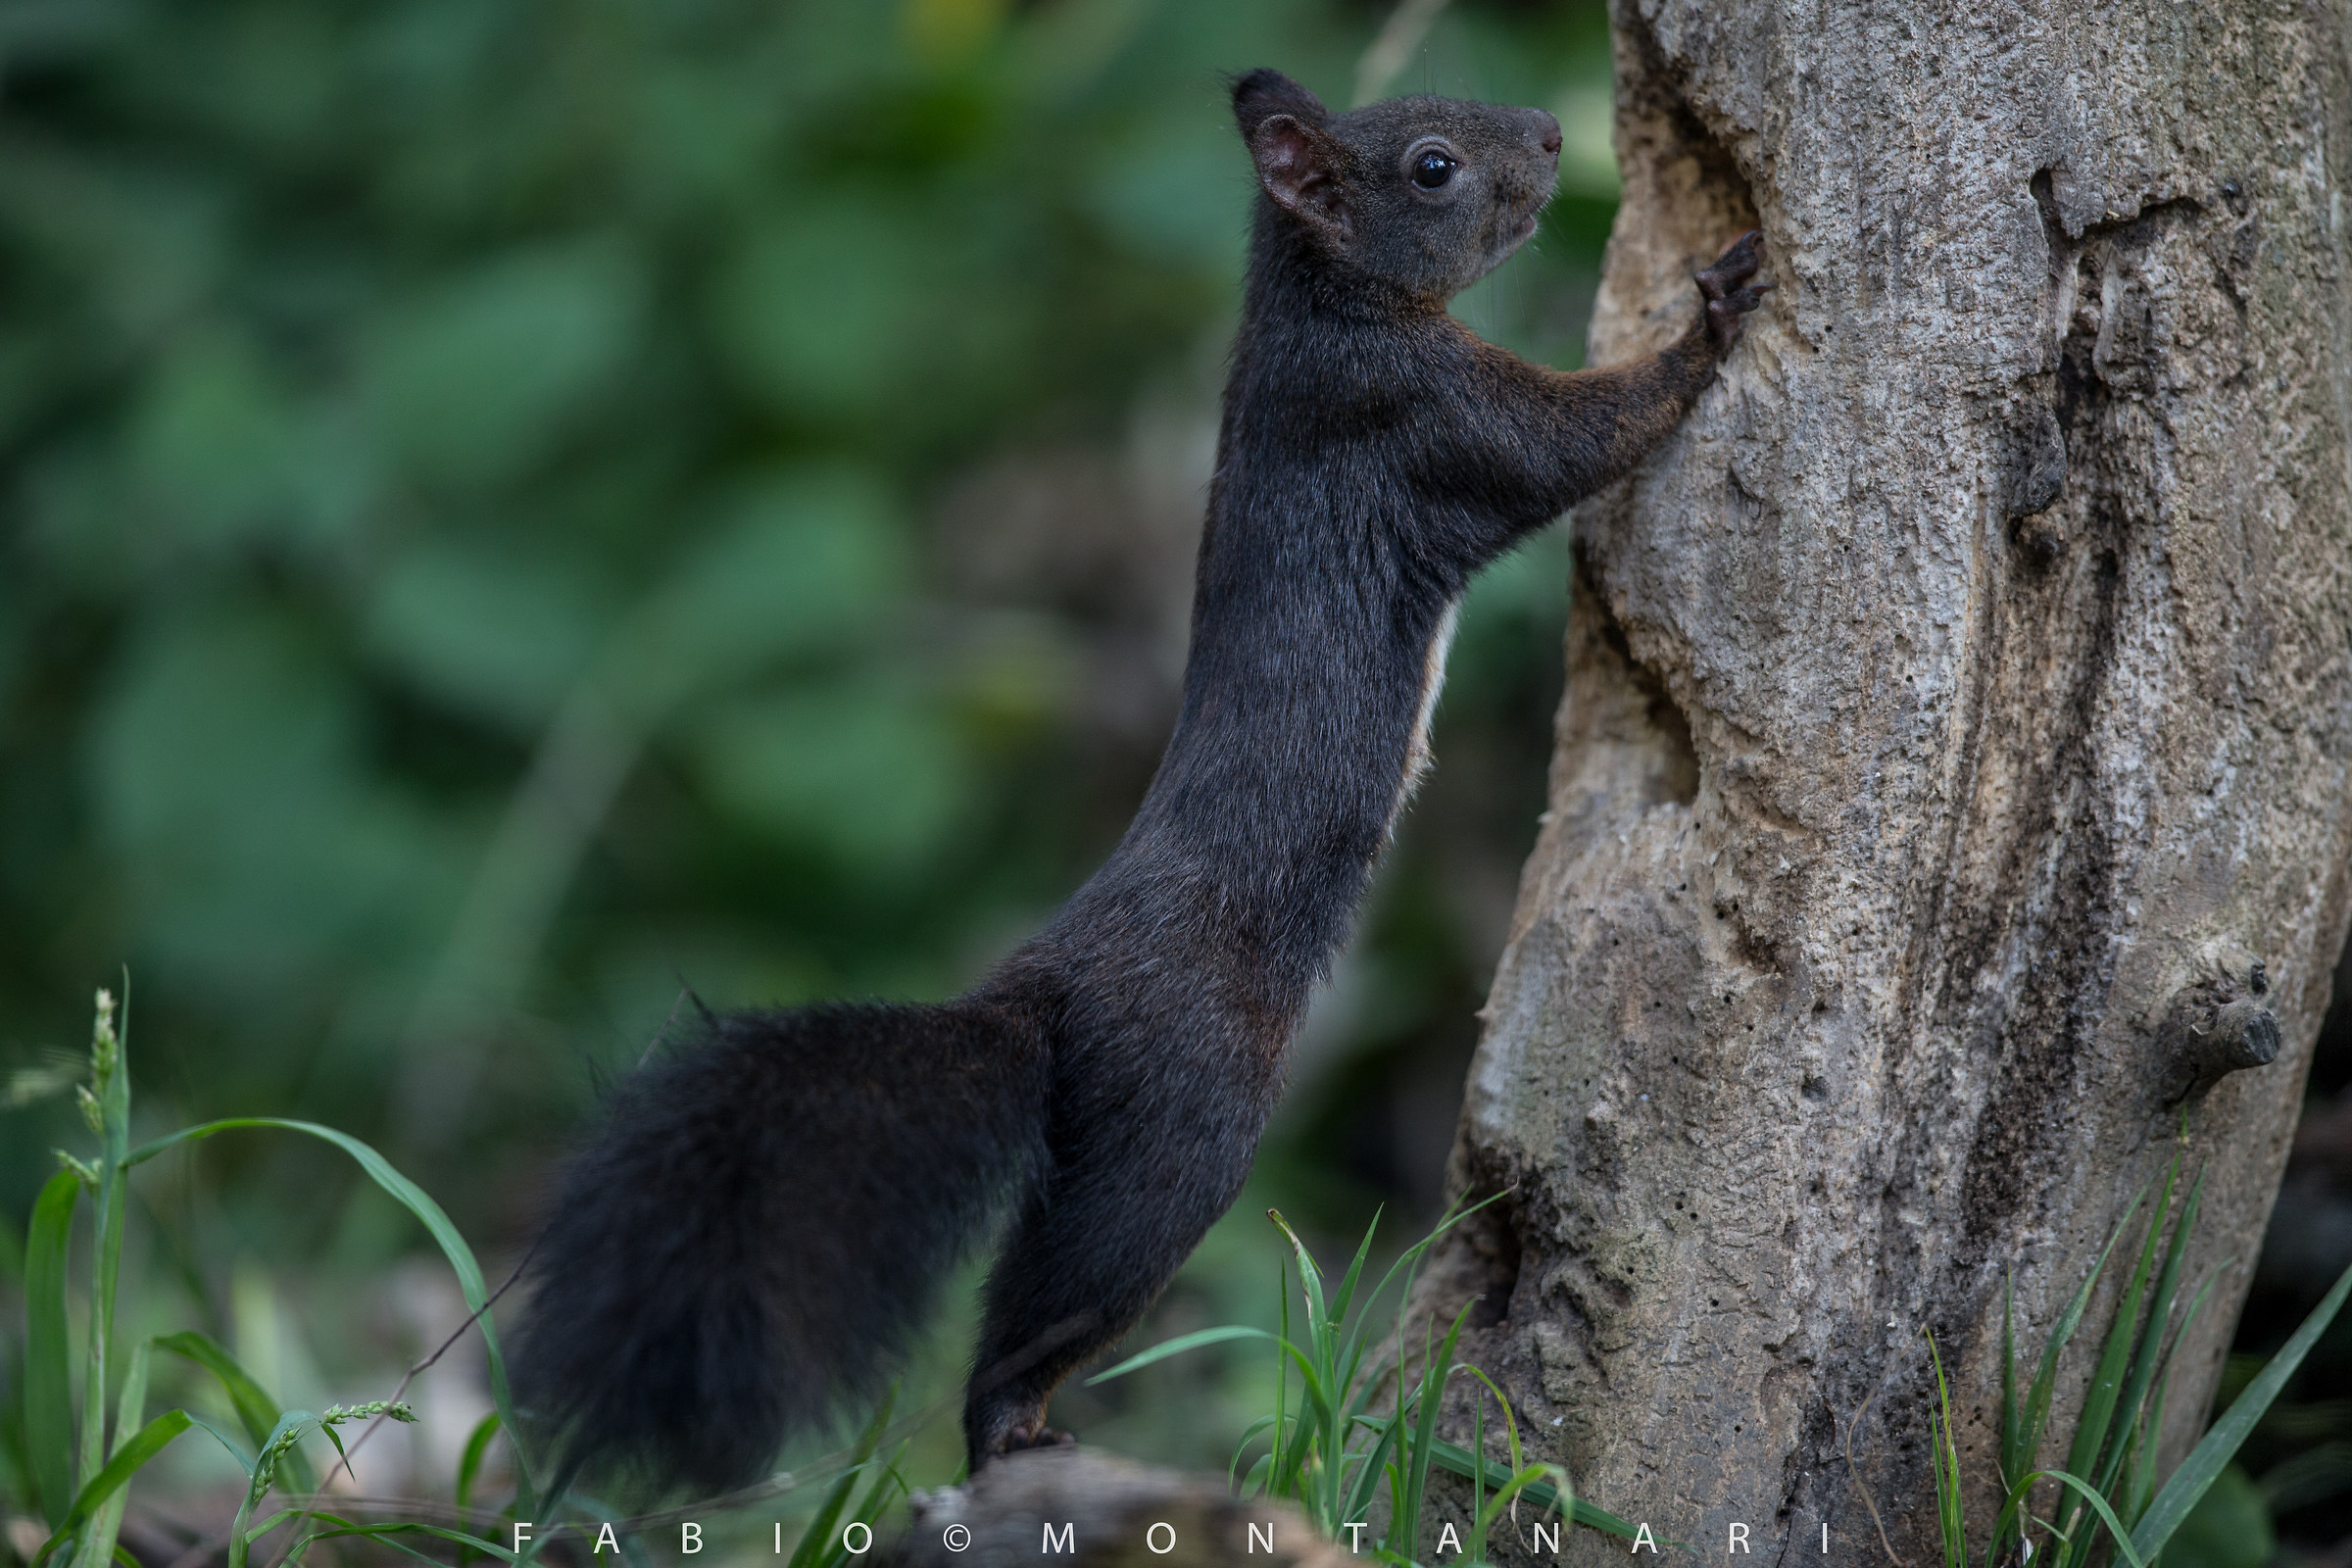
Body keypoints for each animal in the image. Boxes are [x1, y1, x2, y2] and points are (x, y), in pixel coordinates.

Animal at [511, 67, 1768, 1494]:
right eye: (1433, 164)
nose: (1559, 136)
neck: (1317, 309)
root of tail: (1043, 995)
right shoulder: (1414, 413)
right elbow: (1579, 437)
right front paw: (1714, 309)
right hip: (1183, 1123)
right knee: (1058, 1305)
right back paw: (1022, 1431)